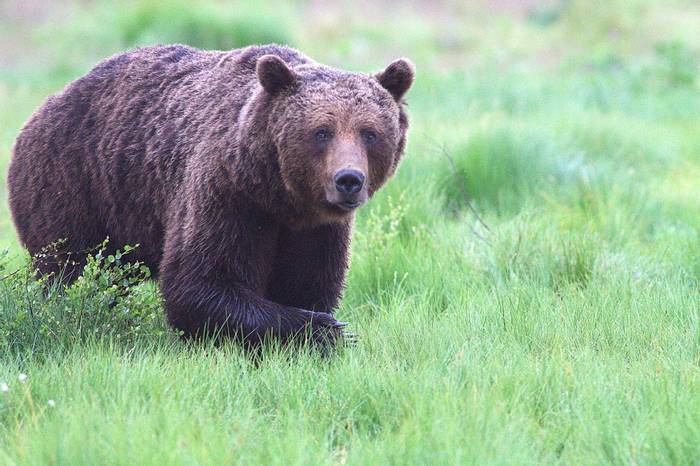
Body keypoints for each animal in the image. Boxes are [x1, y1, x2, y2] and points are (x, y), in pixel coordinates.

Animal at [6, 43, 410, 348]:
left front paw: (319, 326)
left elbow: (308, 281)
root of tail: (45, 106)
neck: (279, 195)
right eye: (322, 131)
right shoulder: (227, 194)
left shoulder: (315, 229)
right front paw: (324, 329)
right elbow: (201, 282)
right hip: (74, 186)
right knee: (71, 269)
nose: (348, 180)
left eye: (370, 133)